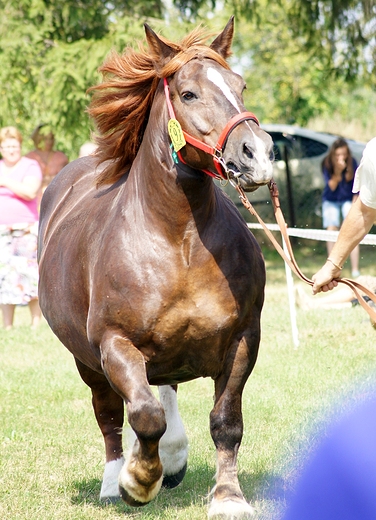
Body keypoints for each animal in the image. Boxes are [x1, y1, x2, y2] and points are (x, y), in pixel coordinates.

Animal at [37, 18, 274, 516]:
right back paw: (115, 480)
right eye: (188, 93)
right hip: (86, 360)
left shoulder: (244, 339)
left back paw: (174, 458)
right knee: (111, 413)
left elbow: (226, 422)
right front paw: (138, 480)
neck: (177, 240)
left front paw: (228, 497)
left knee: (165, 388)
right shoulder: (114, 344)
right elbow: (143, 416)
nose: (257, 154)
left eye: (240, 85)